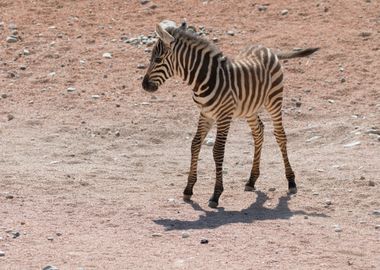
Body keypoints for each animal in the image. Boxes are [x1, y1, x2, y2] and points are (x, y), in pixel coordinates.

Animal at [142, 20, 318, 208]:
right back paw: (251, 180)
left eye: (158, 59)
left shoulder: (223, 116)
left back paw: (291, 181)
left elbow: (218, 151)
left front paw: (216, 194)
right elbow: (195, 144)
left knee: (280, 135)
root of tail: (267, 49)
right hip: (250, 107)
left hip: (274, 100)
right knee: (259, 132)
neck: (204, 80)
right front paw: (188, 189)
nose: (144, 85)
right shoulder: (205, 114)